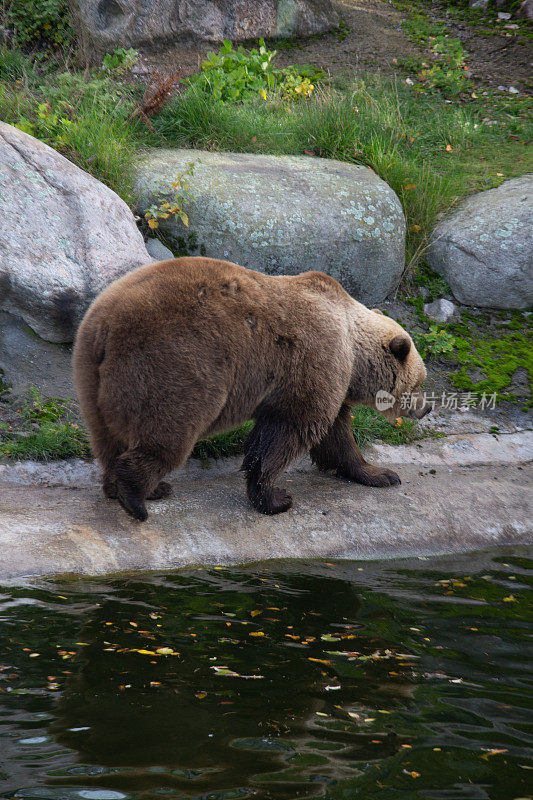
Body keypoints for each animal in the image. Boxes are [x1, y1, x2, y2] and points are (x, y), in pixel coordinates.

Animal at [71, 256, 428, 520]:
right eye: (420, 381)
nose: (426, 407)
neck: (351, 350)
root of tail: (107, 324)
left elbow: (336, 437)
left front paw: (380, 474)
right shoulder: (312, 364)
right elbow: (290, 431)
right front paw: (275, 497)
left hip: (90, 373)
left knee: (106, 437)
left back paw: (132, 487)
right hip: (173, 361)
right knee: (167, 430)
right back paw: (136, 497)